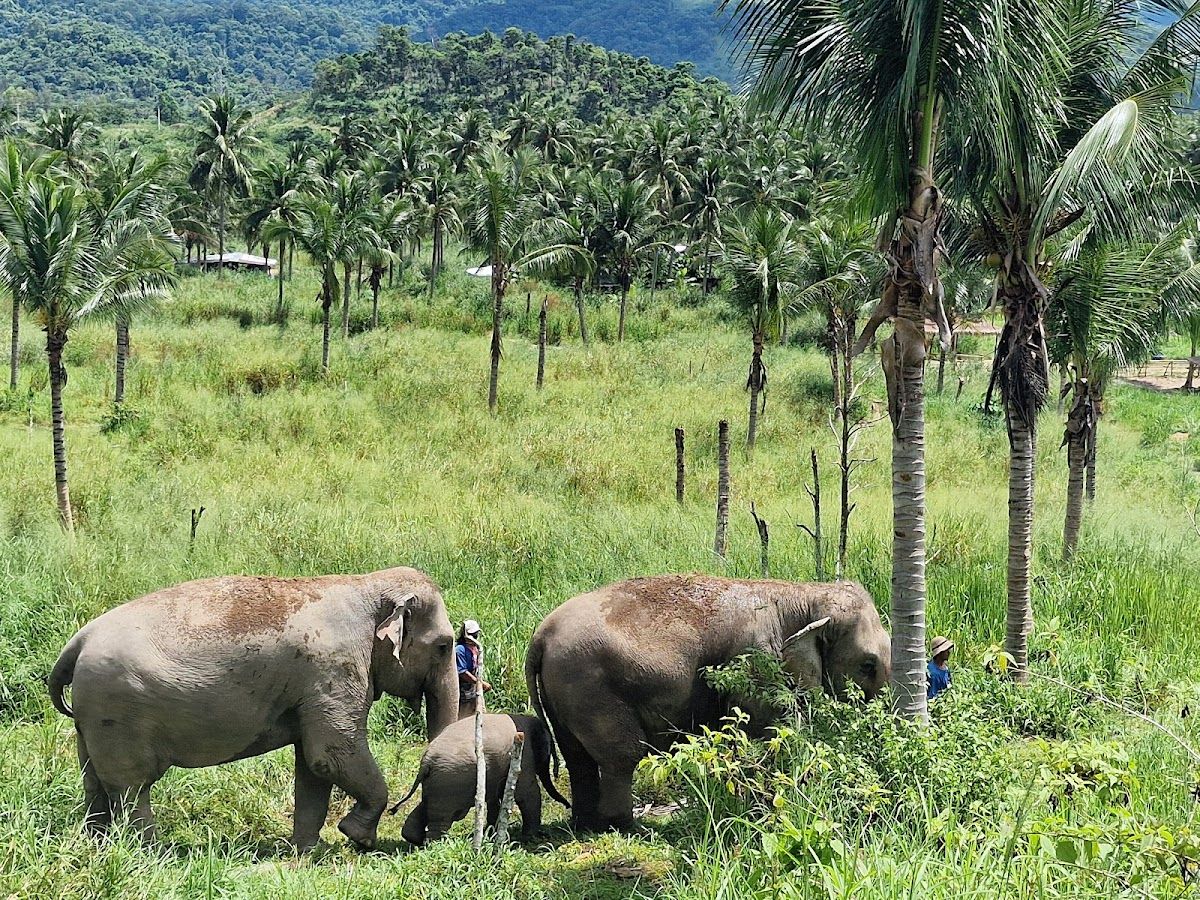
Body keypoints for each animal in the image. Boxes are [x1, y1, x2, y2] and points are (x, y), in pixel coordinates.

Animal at [48, 566, 459, 851]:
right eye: (443, 646)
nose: (414, 838)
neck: (367, 585)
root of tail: (77, 641)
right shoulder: (334, 666)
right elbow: (331, 752)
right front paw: (357, 838)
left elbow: (313, 766)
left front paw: (307, 852)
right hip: (117, 710)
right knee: (131, 786)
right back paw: (149, 852)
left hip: (93, 716)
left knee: (94, 782)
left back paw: (99, 846)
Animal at [393, 712, 570, 845]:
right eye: (548, 753)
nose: (568, 806)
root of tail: (426, 761)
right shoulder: (523, 757)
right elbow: (526, 793)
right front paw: (530, 837)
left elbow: (496, 797)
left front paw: (492, 833)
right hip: (449, 782)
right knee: (443, 818)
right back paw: (435, 845)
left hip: (437, 782)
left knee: (426, 805)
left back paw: (414, 839)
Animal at [525, 575, 890, 831]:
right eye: (867, 665)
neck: (804, 594)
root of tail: (539, 637)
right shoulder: (753, 661)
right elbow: (766, 730)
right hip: (590, 686)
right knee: (622, 754)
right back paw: (628, 826)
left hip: (565, 691)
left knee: (577, 757)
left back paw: (586, 825)